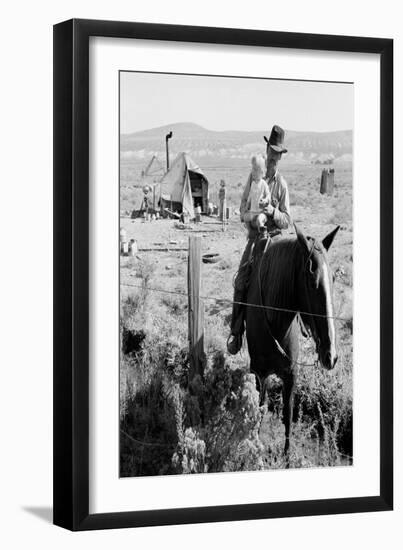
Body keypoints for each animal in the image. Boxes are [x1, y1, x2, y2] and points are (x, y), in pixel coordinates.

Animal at [246, 222, 340, 454]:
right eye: (311, 280)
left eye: (333, 278)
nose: (331, 356)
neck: (276, 323)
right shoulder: (260, 373)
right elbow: (260, 407)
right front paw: (256, 445)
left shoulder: (291, 375)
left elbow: (288, 415)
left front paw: (287, 456)